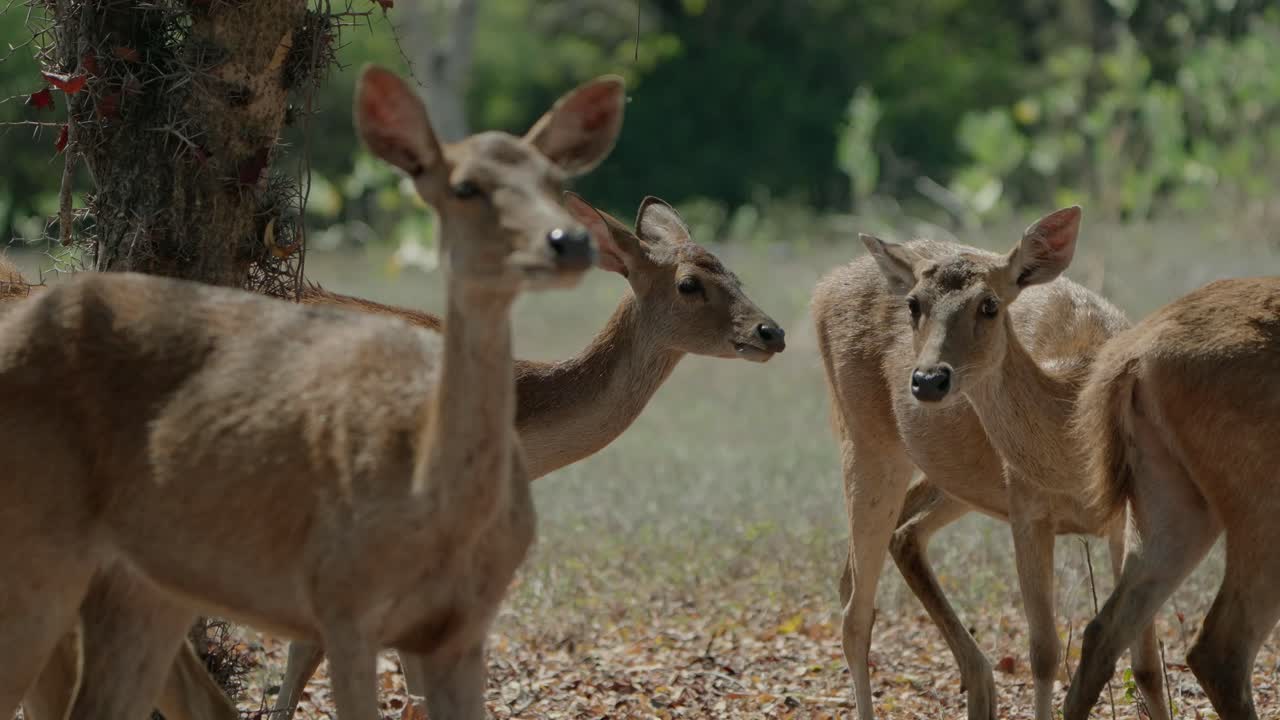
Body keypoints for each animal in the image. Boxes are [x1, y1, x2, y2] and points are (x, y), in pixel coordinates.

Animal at [0, 60, 625, 720]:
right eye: (464, 187)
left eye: (556, 181)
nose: (569, 241)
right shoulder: (343, 599)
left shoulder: (463, 625)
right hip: (34, 548)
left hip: (141, 585)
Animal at [812, 207, 1170, 720]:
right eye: (914, 304)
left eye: (989, 305)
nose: (928, 380)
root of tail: (824, 288)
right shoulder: (1026, 509)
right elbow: (1044, 651)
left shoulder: (1131, 515)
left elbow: (1146, 665)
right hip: (867, 440)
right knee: (855, 611)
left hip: (957, 478)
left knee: (896, 541)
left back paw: (981, 688)